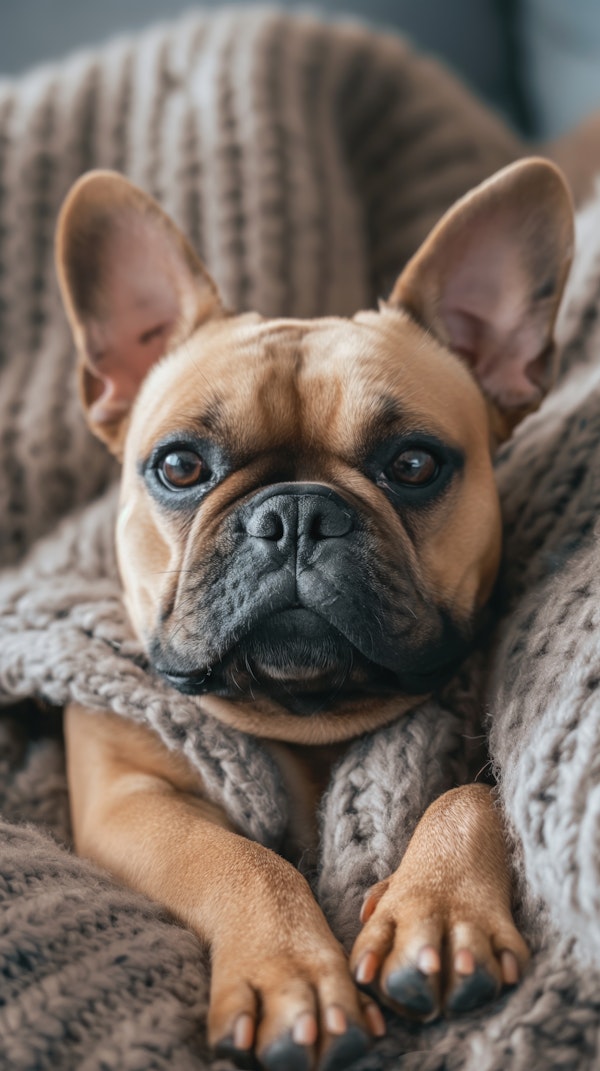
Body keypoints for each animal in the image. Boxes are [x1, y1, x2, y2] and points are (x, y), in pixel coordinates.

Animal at [55, 155, 570, 1066]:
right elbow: (235, 856)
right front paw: (293, 977)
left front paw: (437, 916)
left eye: (414, 463)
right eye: (180, 466)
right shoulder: (130, 796)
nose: (296, 513)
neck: (306, 714)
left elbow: (471, 796)